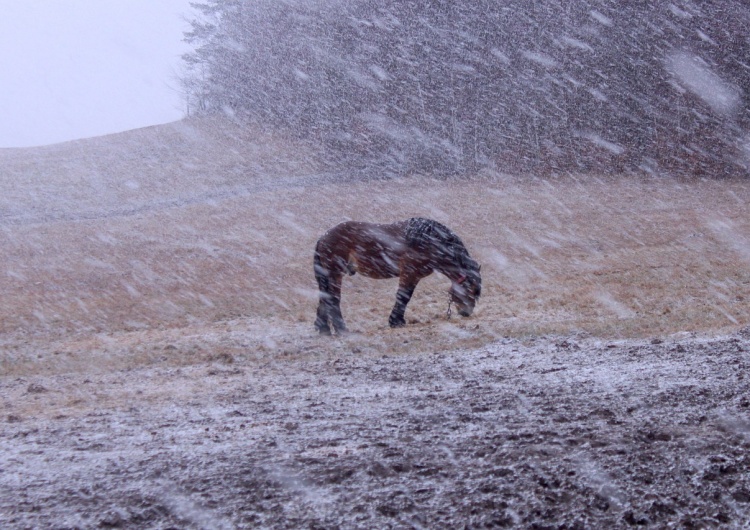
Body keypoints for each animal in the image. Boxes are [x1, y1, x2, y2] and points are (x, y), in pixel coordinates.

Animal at [314, 216, 484, 332]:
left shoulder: (415, 276)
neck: (428, 242)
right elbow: (403, 296)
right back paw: (342, 330)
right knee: (333, 299)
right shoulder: (409, 274)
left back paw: (324, 329)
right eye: (470, 289)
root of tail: (324, 237)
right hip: (335, 274)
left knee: (324, 298)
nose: (466, 312)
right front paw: (396, 321)